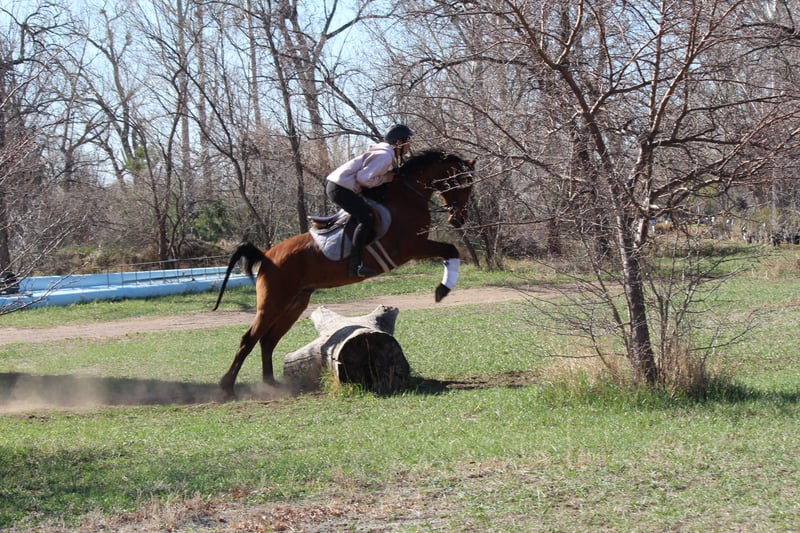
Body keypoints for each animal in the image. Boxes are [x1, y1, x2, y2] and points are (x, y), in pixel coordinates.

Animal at [212, 150, 476, 398]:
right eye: (462, 182)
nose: (459, 218)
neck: (408, 196)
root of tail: (266, 256)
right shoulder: (412, 247)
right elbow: (451, 249)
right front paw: (442, 290)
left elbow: (450, 251)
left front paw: (443, 288)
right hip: (272, 303)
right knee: (249, 339)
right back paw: (226, 388)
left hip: (294, 304)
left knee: (267, 341)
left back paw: (271, 385)